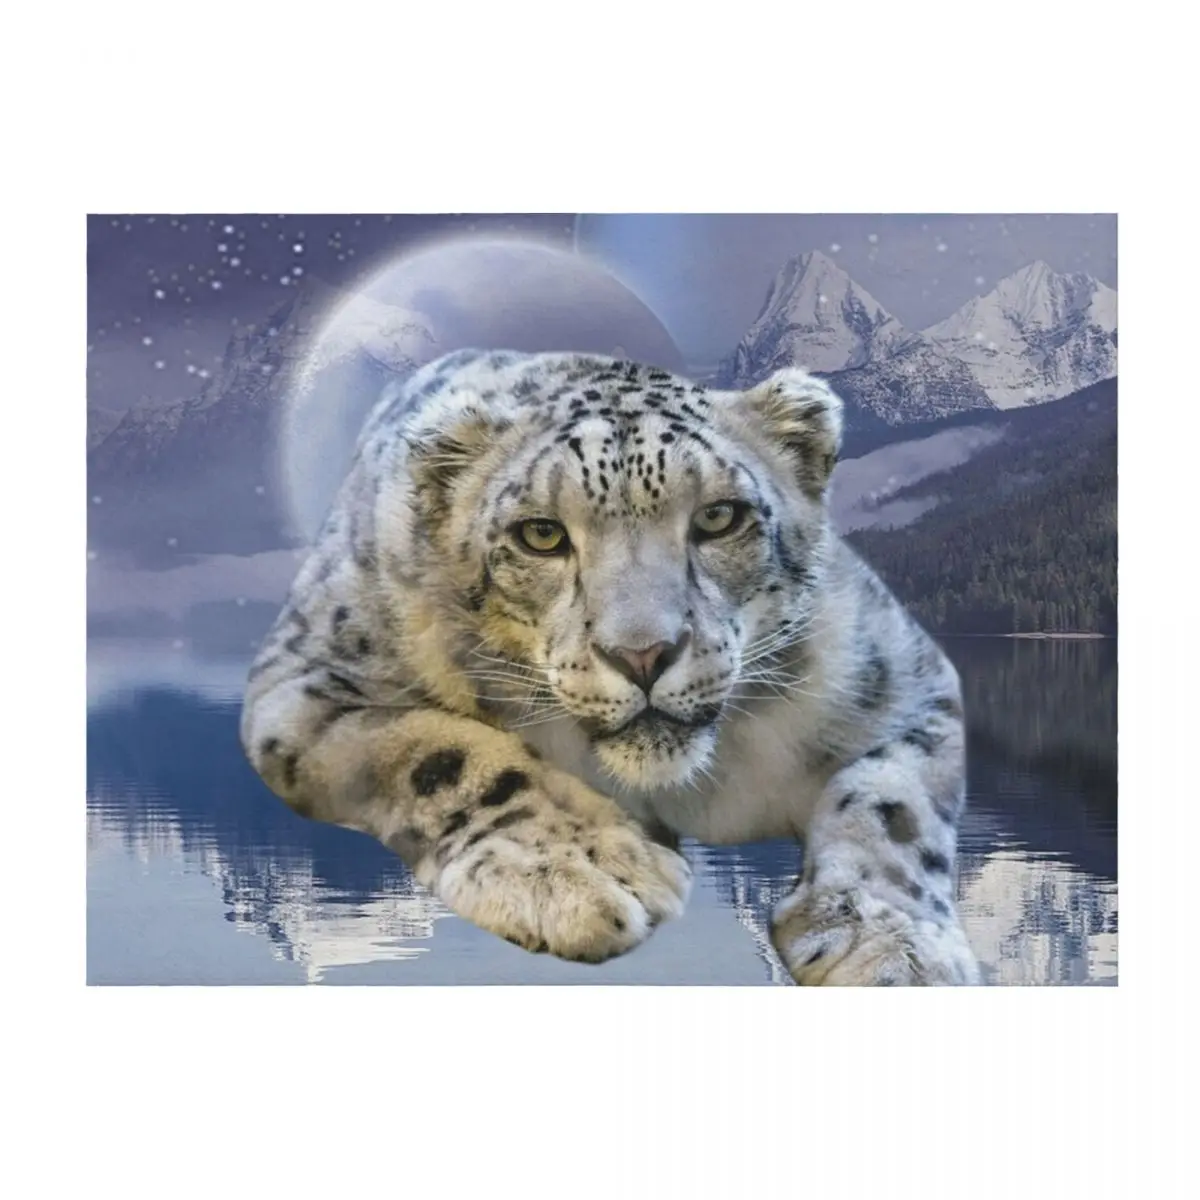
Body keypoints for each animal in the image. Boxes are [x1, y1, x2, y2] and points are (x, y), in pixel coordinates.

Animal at [241, 348, 980, 985]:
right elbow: (438, 747)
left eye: (719, 517)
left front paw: (892, 945)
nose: (643, 653)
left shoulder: (905, 676)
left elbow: (890, 800)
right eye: (541, 533)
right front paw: (580, 868)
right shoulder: (304, 680)